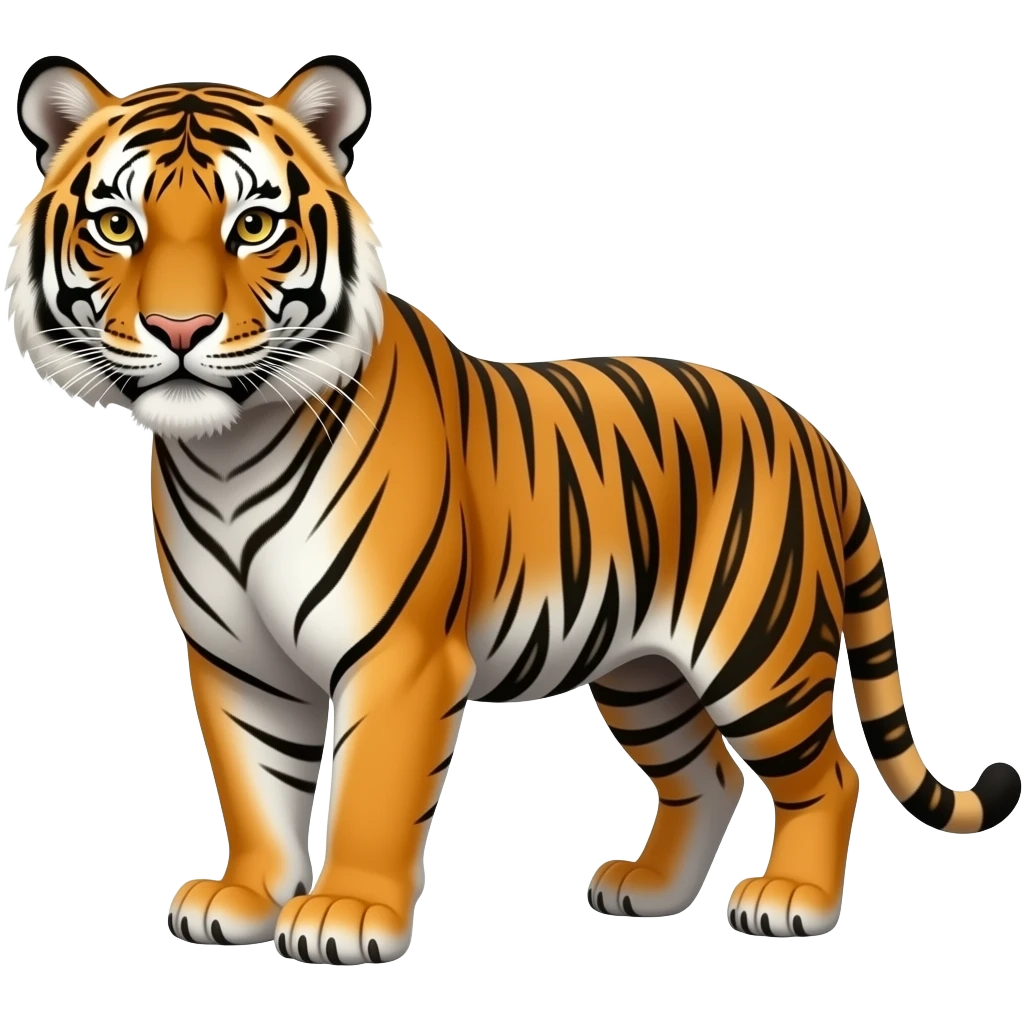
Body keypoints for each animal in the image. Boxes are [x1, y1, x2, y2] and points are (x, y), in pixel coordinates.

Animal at [9, 53, 1020, 964]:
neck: (225, 453)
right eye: (116, 225)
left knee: (828, 774)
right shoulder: (237, 659)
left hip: (757, 649)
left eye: (253, 225)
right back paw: (649, 891)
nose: (179, 331)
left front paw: (346, 915)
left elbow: (371, 792)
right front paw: (246, 898)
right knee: (707, 771)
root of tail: (808, 429)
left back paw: (792, 901)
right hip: (643, 671)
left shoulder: (401, 654)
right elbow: (255, 784)